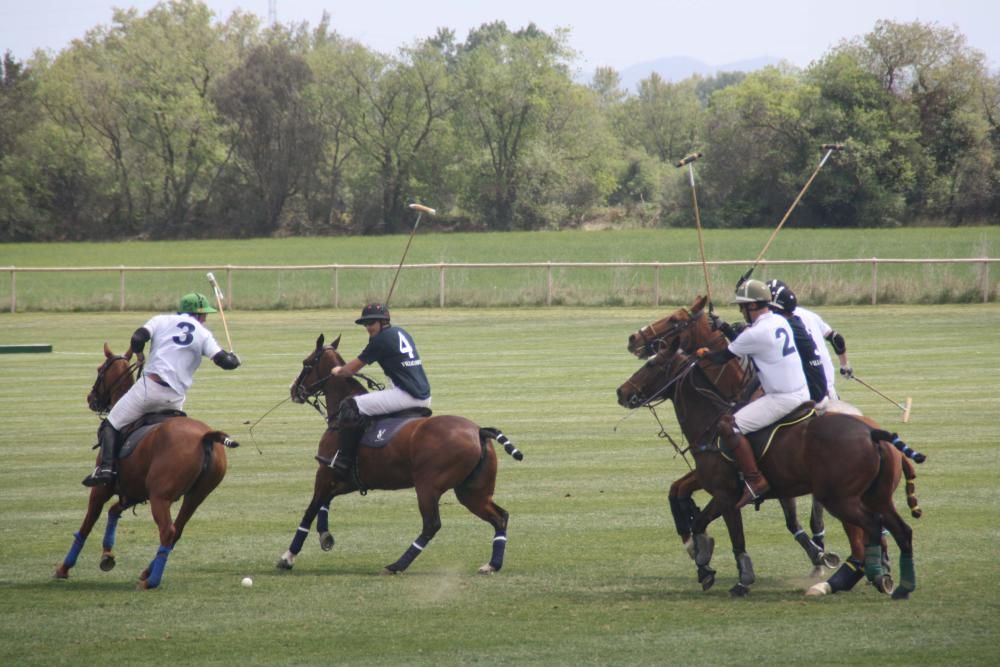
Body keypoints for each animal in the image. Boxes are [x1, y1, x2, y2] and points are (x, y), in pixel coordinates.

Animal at [55, 344, 240, 588]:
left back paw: (150, 581)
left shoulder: (102, 489)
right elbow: (114, 511)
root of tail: (205, 437)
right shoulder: (134, 490)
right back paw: (146, 572)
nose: (90, 398)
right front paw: (107, 555)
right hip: (196, 495)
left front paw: (64, 568)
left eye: (99, 369)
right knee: (177, 530)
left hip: (160, 496)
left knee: (168, 531)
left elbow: (87, 524)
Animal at [276, 336, 520, 576]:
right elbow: (325, 503)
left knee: (431, 525)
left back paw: (397, 565)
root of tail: (479, 431)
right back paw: (492, 564)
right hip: (471, 490)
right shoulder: (349, 480)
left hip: (428, 485)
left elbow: (311, 510)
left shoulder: (326, 471)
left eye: (306, 364)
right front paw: (325, 536)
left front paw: (288, 557)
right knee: (500, 516)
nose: (293, 389)